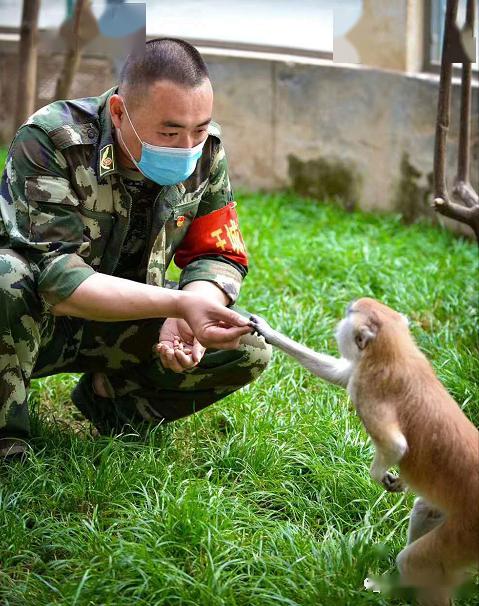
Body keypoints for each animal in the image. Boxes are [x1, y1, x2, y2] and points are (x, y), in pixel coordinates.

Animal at [251, 300, 479, 606]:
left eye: (350, 312)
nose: (347, 306)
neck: (393, 348)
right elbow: (338, 372)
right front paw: (266, 330)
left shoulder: (368, 386)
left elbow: (396, 445)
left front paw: (380, 474)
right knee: (425, 511)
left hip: (470, 529)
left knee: (417, 562)